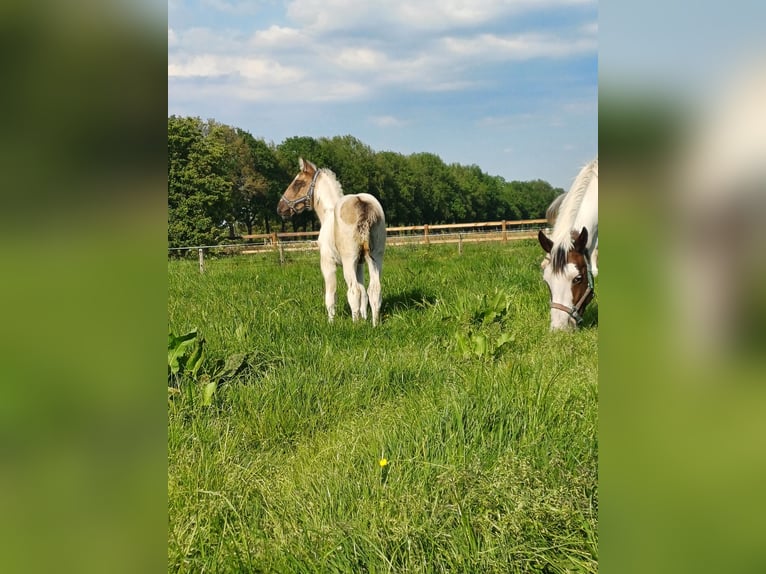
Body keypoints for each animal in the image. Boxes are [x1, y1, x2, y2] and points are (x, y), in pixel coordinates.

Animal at [276, 159, 388, 328]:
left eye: (298, 183)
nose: (280, 208)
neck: (328, 214)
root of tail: (361, 203)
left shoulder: (328, 263)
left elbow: (331, 295)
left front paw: (331, 323)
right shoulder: (360, 264)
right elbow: (364, 292)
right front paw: (364, 318)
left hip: (349, 260)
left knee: (353, 291)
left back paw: (355, 326)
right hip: (376, 257)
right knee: (374, 290)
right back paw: (374, 325)